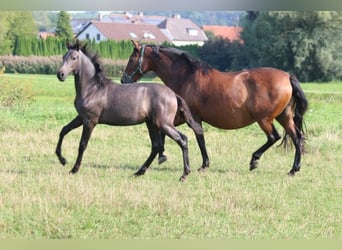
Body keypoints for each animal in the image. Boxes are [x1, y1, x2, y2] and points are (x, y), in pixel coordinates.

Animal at [55, 41, 203, 182]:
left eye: (74, 58)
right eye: (63, 57)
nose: (60, 74)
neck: (92, 88)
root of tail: (173, 94)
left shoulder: (90, 121)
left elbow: (82, 144)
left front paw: (74, 169)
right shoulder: (81, 117)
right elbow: (63, 130)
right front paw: (62, 160)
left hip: (164, 124)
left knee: (182, 139)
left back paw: (184, 175)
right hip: (152, 124)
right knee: (156, 146)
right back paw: (139, 172)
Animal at [121, 41, 308, 177]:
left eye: (131, 58)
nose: (123, 80)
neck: (187, 77)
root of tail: (288, 76)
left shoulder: (190, 117)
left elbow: (198, 139)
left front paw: (202, 165)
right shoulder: (179, 117)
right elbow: (176, 135)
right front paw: (163, 155)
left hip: (264, 119)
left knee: (273, 137)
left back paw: (254, 160)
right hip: (284, 117)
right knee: (297, 138)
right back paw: (294, 169)